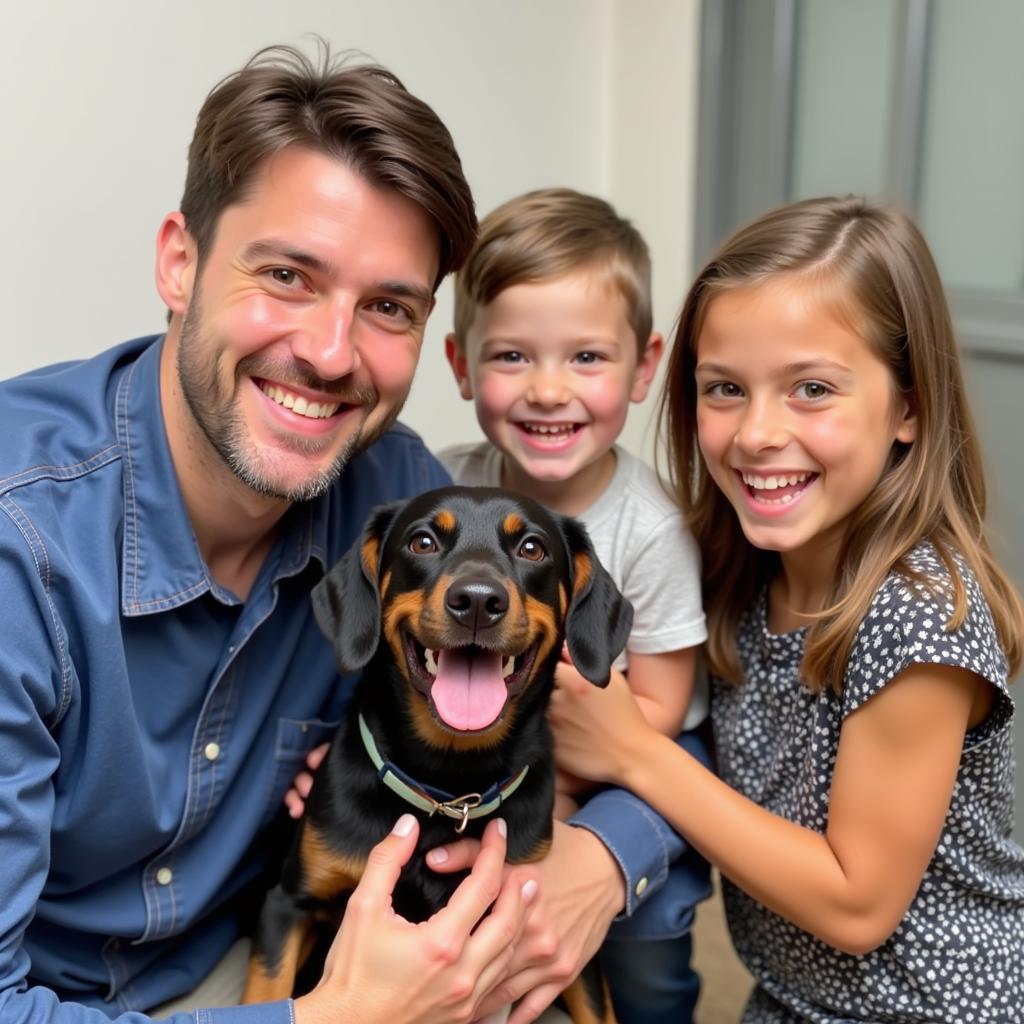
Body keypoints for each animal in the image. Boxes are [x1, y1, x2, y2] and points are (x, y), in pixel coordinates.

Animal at [244, 483, 634, 1019]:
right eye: (422, 542)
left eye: (532, 548)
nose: (477, 601)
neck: (449, 784)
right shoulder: (287, 904)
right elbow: (268, 991)